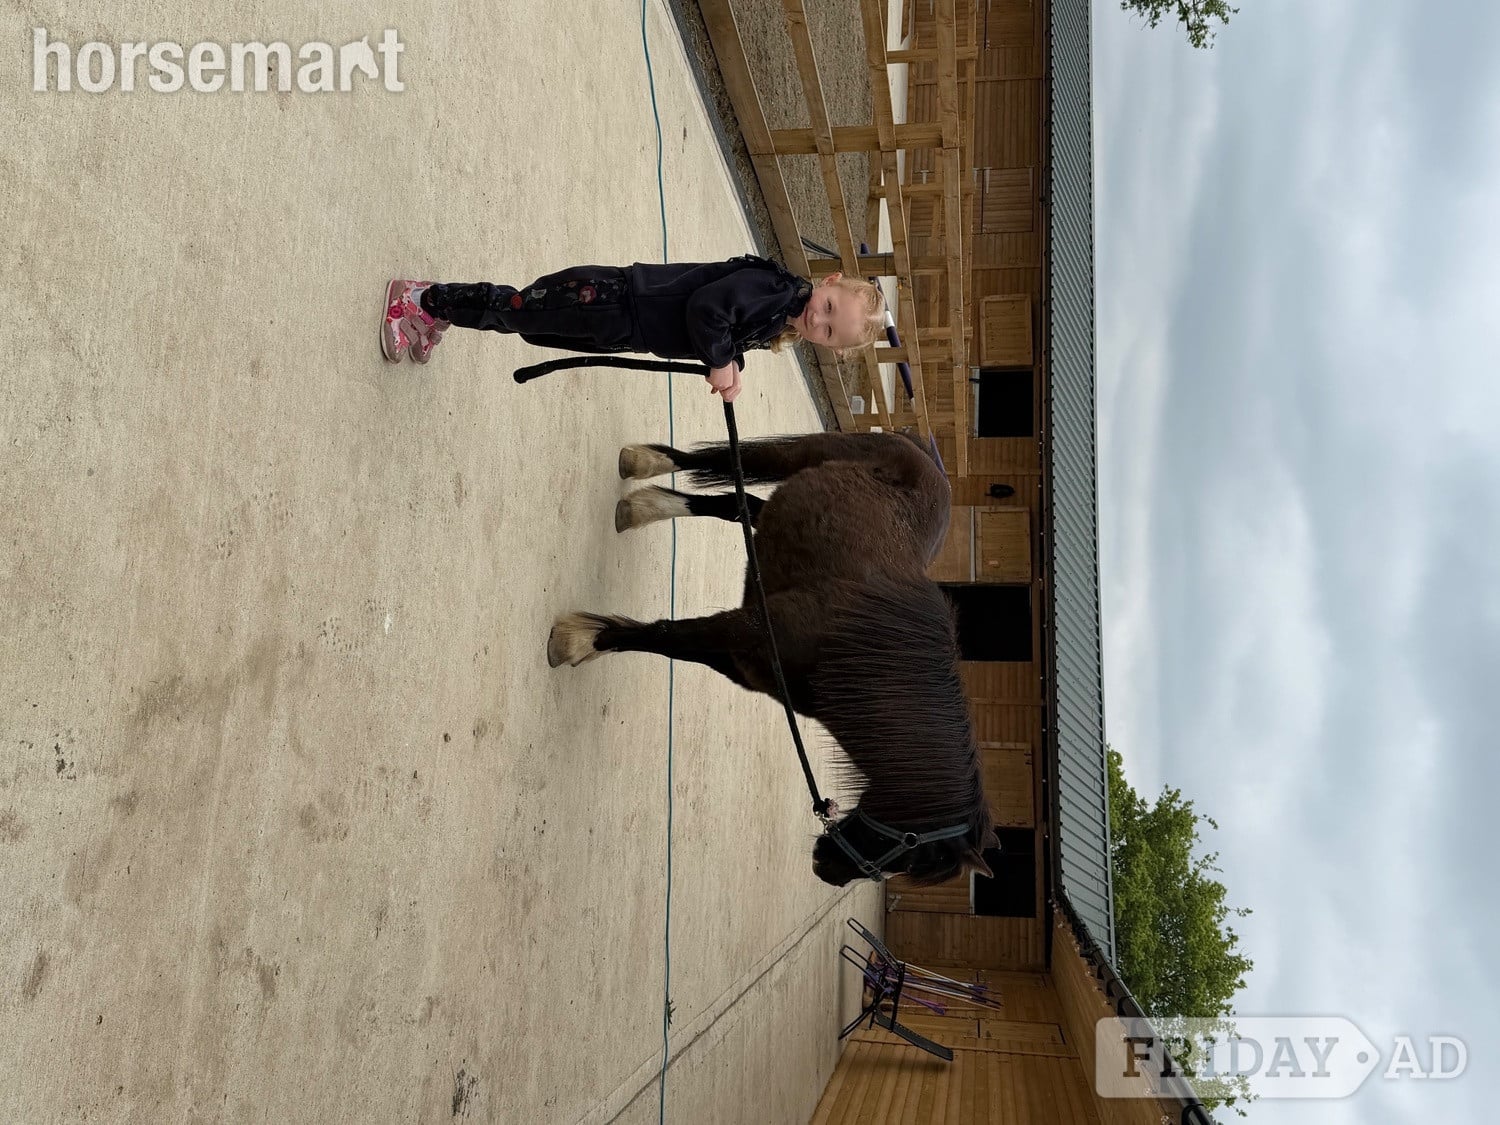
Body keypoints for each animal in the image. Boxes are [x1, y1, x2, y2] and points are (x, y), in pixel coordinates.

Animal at [546, 430, 998, 887]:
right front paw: (581, 641)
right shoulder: (744, 630)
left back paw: (643, 508)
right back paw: (646, 463)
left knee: (738, 505)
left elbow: (675, 645)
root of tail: (928, 461)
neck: (858, 642)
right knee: (722, 463)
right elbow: (667, 636)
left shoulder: (742, 662)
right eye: (913, 851)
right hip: (794, 456)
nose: (826, 871)